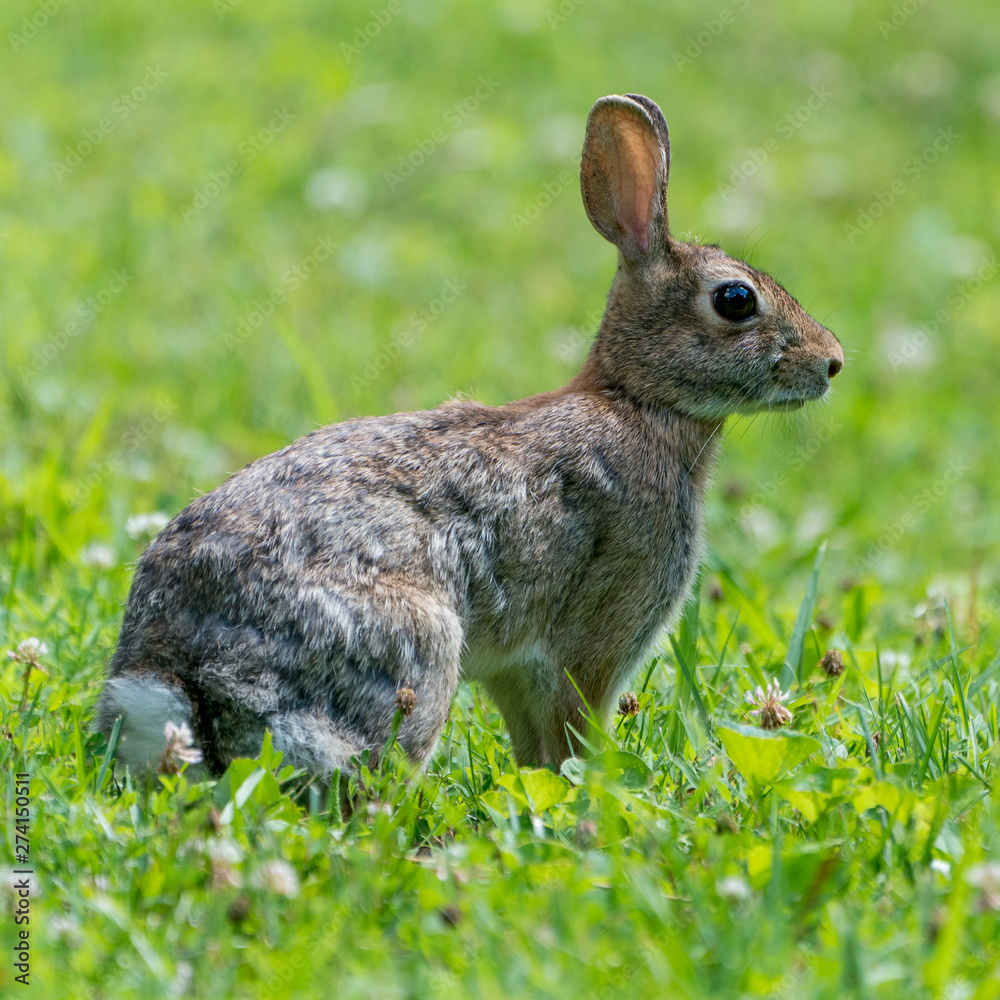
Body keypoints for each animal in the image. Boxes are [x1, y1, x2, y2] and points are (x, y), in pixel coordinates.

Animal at [96, 93, 843, 779]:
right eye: (735, 300)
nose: (832, 362)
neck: (638, 400)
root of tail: (180, 677)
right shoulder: (593, 642)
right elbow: (574, 732)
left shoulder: (516, 671)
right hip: (417, 654)